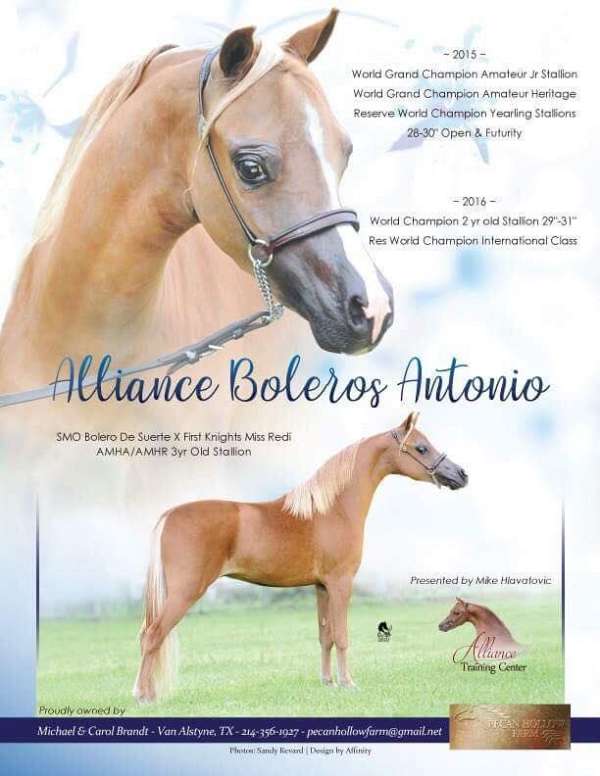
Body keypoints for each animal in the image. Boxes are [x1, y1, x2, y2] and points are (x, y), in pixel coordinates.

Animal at [133, 411, 468, 702]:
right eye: (421, 447)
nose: (461, 474)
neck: (333, 509)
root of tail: (169, 515)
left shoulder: (322, 587)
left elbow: (326, 636)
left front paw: (328, 682)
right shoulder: (341, 583)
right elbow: (342, 635)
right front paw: (348, 683)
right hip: (185, 591)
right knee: (152, 635)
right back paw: (143, 696)